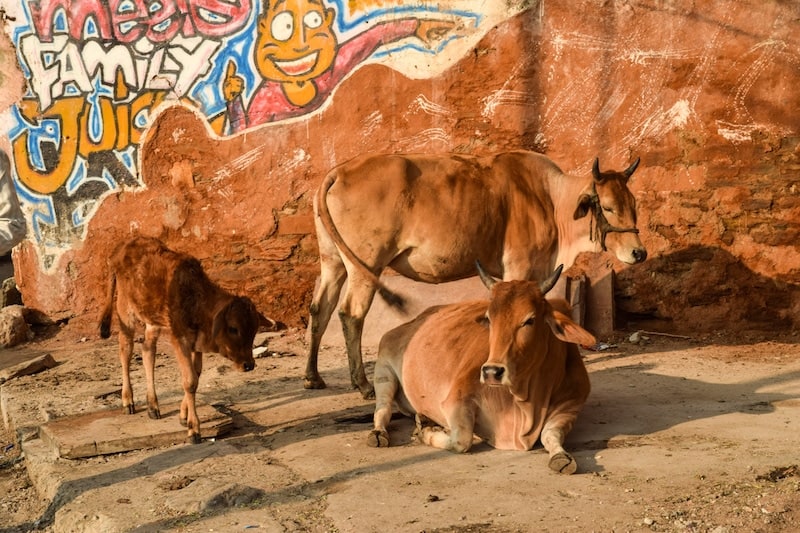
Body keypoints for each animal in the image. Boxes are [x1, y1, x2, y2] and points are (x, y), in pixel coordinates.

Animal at [97, 236, 260, 440]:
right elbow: (190, 380)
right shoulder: (179, 340)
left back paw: (153, 406)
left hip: (152, 322)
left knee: (147, 351)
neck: (195, 299)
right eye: (233, 328)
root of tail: (120, 249)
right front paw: (194, 429)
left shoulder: (196, 344)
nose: (249, 365)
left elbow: (196, 375)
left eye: (254, 330)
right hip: (125, 311)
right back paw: (128, 401)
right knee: (125, 351)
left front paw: (183, 416)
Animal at [368, 262, 592, 474]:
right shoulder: (455, 400)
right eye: (489, 319)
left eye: (530, 320)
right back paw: (379, 433)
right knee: (383, 409)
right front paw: (426, 432)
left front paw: (561, 457)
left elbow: (551, 435)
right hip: (384, 369)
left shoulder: (570, 406)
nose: (492, 372)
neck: (525, 401)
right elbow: (462, 440)